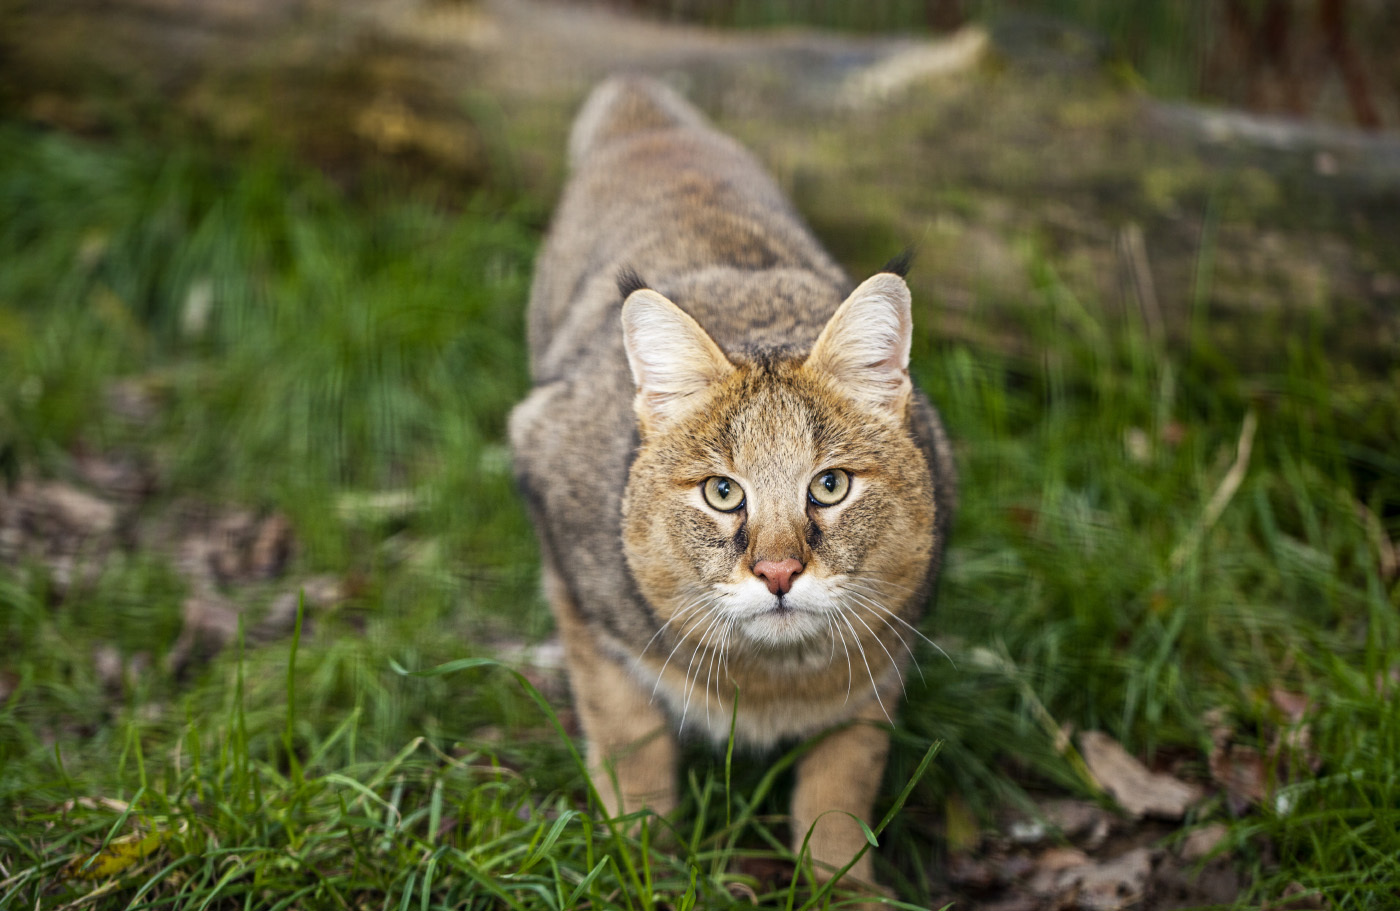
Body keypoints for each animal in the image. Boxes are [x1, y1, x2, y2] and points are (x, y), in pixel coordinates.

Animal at [509, 74, 957, 890]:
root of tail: (648, 113)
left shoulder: (885, 656)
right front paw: (639, 860)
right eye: (723, 493)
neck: (774, 675)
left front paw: (842, 885)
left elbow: (843, 778)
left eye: (830, 485)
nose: (778, 573)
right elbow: (629, 736)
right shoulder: (569, 562)